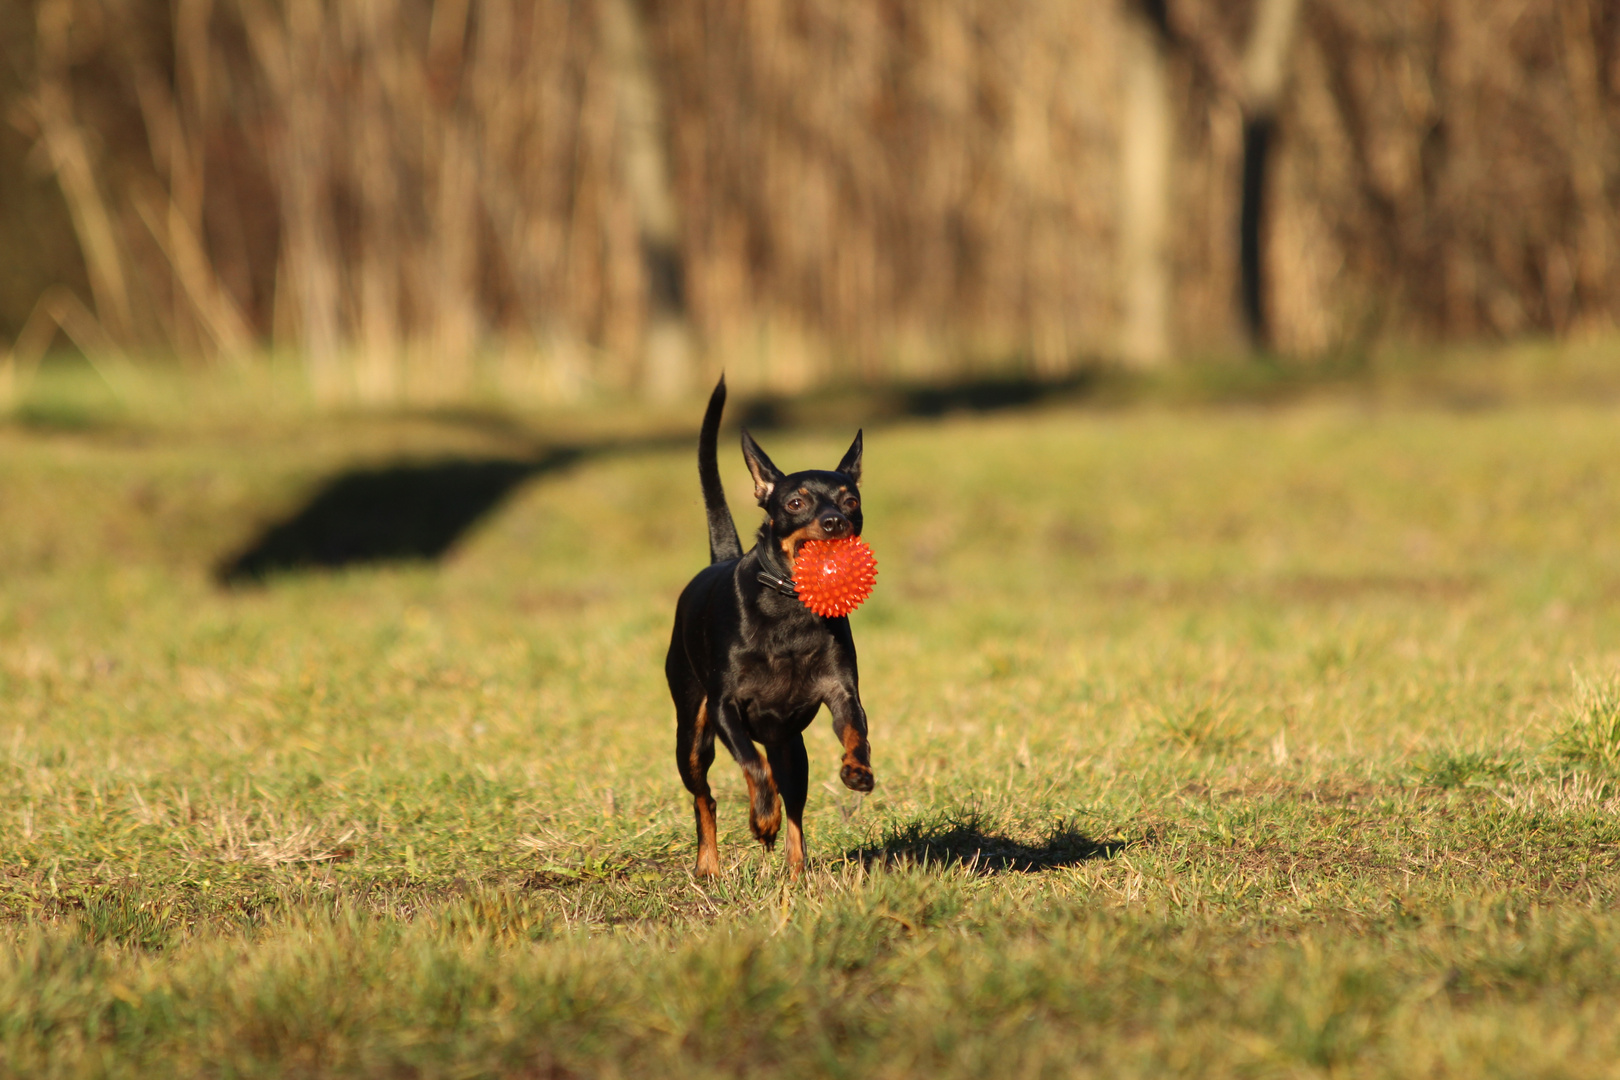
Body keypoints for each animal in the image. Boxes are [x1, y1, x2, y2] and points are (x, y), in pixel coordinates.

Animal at [664, 378, 874, 880]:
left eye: (851, 501)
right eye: (795, 503)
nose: (834, 521)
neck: (790, 608)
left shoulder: (842, 694)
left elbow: (856, 734)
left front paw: (857, 769)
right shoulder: (725, 708)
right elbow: (752, 765)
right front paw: (761, 818)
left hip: (792, 749)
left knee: (795, 803)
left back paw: (796, 870)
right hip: (692, 736)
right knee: (706, 797)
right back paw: (709, 865)